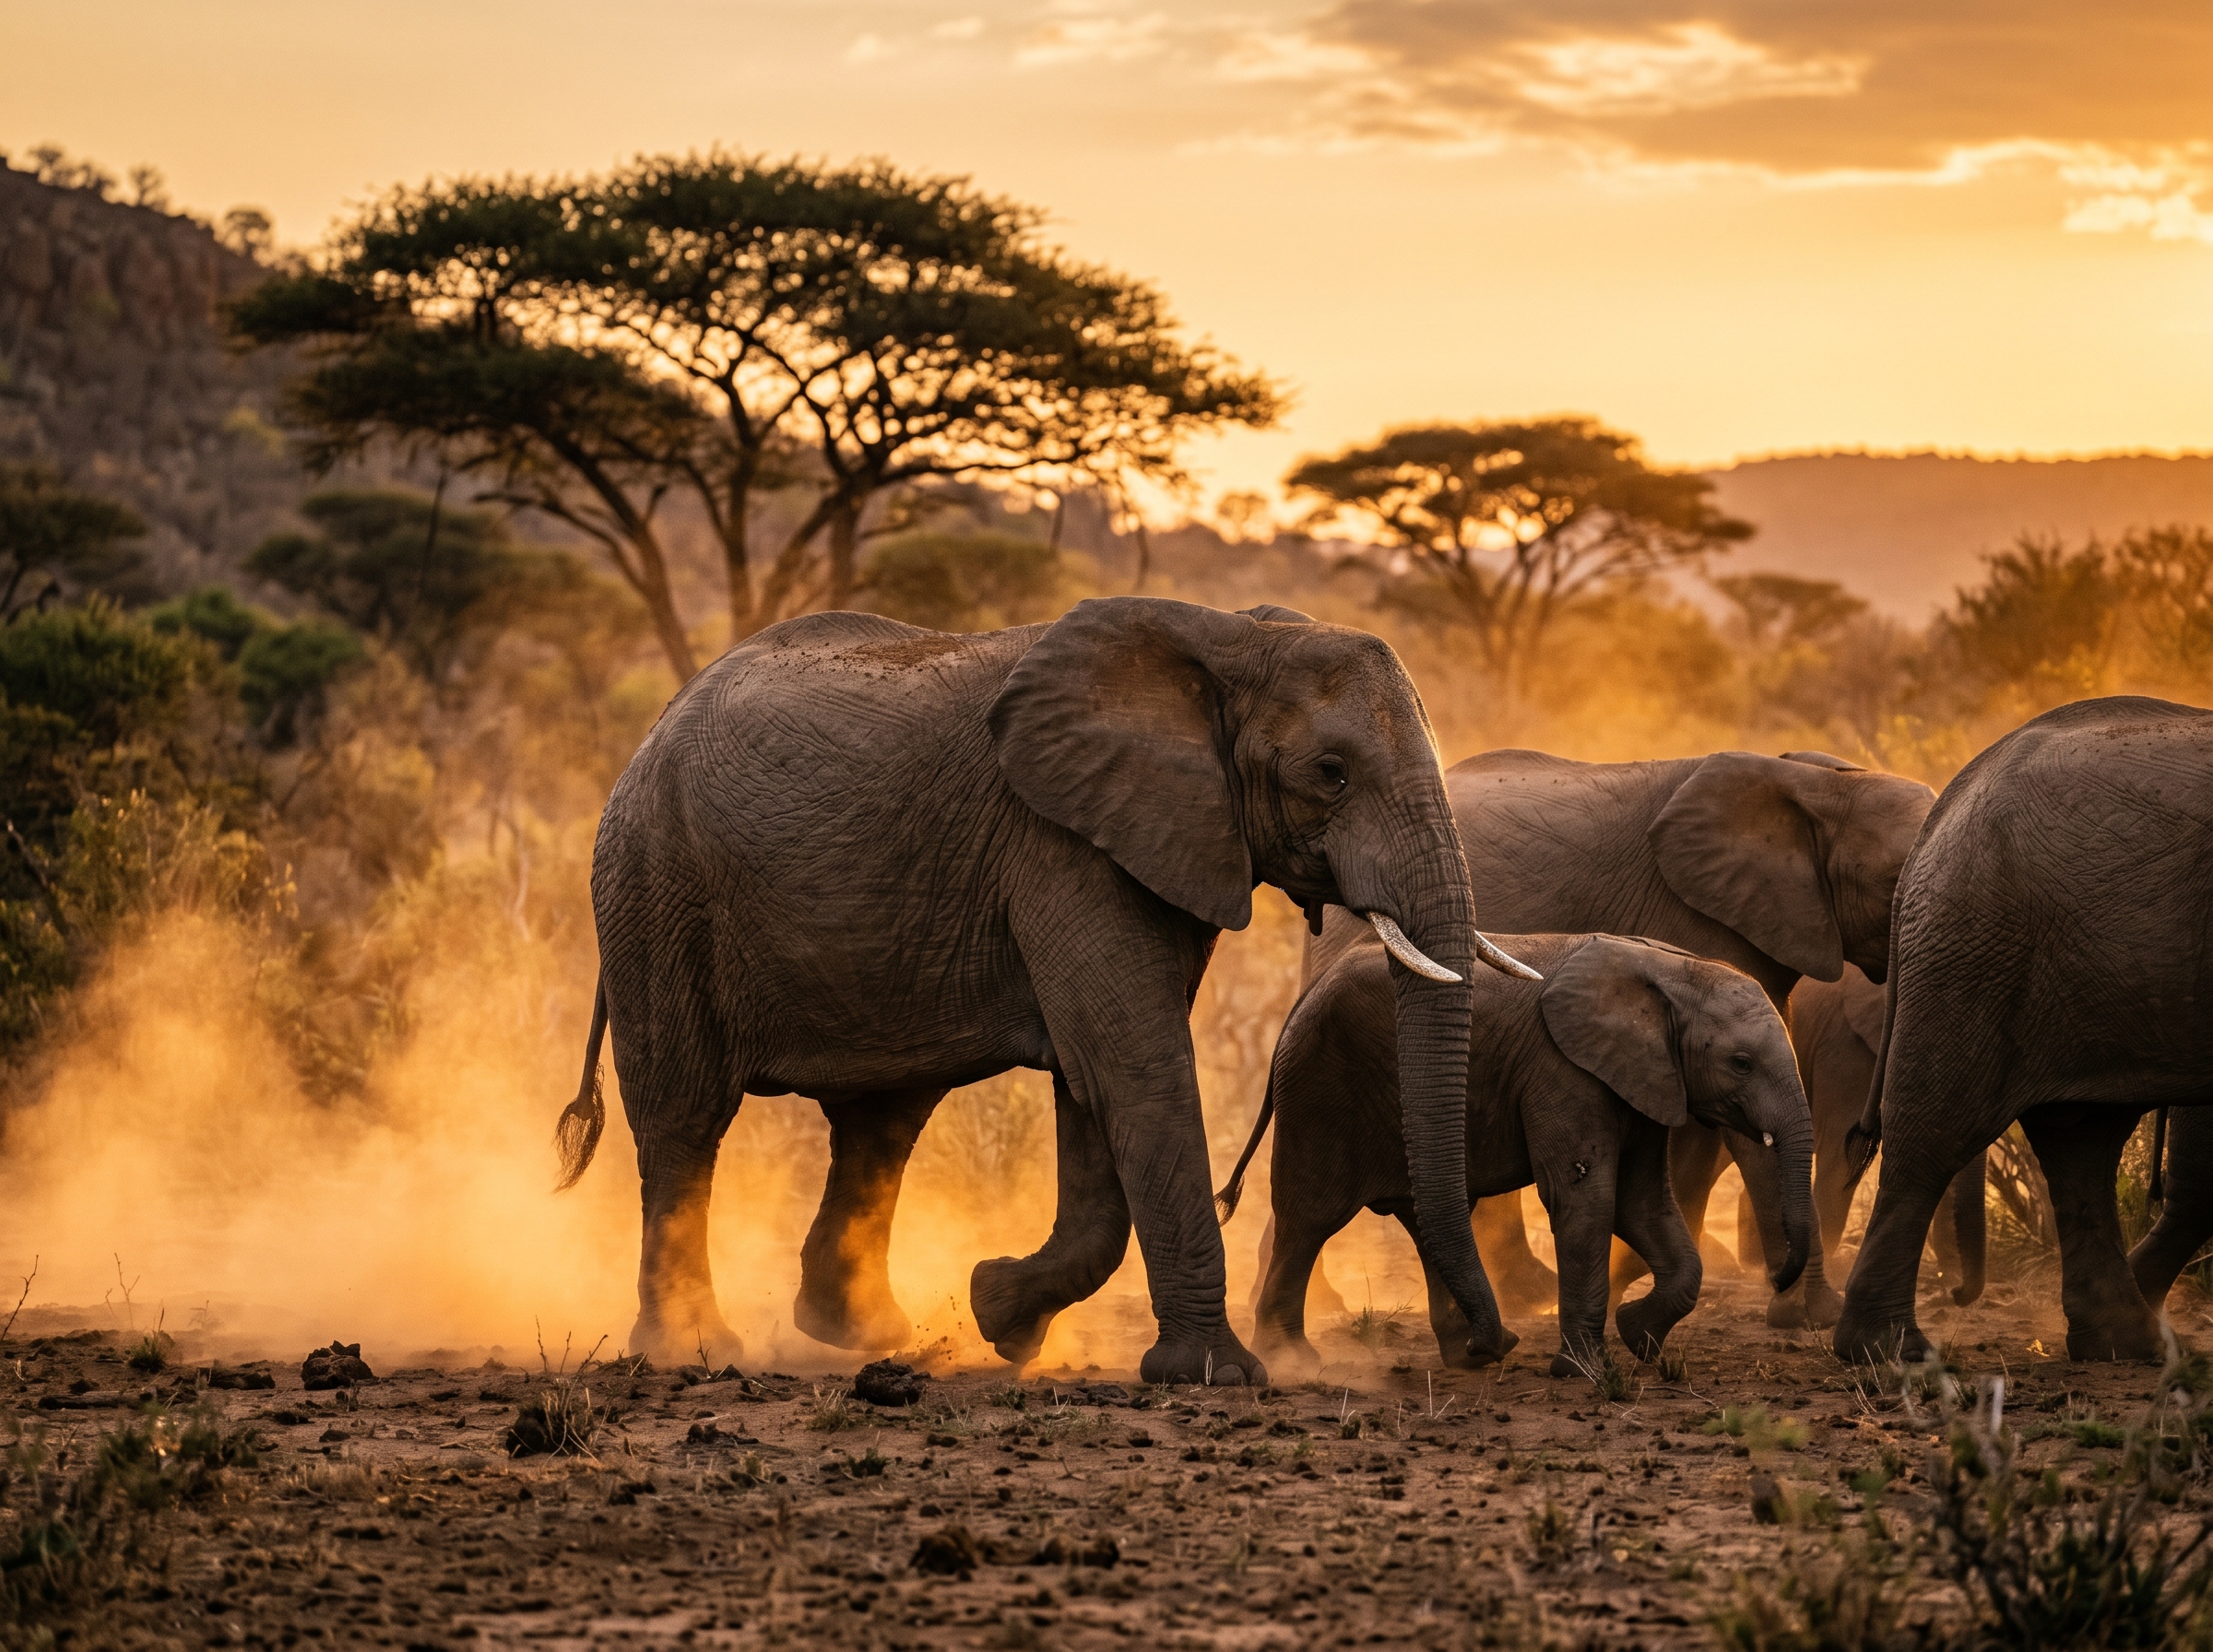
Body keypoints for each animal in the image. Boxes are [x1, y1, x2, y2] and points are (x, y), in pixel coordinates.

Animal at [557, 596, 1534, 1385]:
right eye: (1331, 772)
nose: (1488, 1349)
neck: (1230, 638)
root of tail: (649, 735)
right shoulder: (1062, 842)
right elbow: (1134, 1067)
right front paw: (1214, 1376)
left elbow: (1092, 1082)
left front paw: (1000, 1312)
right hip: (653, 886)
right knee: (686, 1118)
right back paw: (691, 1346)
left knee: (882, 1123)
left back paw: (861, 1334)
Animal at [1227, 932, 1814, 1377]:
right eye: (1741, 1063)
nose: (1781, 1278)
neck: (1673, 971)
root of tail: (1302, 998)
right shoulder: (1564, 1071)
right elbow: (1584, 1198)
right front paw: (1586, 1373)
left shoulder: (1643, 1080)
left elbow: (1641, 1202)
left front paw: (1638, 1336)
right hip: (1319, 1089)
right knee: (1310, 1218)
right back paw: (1292, 1360)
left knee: (1423, 1216)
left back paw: (1478, 1350)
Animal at [1291, 746, 1933, 1330]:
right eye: (1894, 883)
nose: (1777, 1279)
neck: (1823, 785)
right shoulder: (1699, 923)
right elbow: (1730, 1134)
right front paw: (1811, 1315)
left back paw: (1525, 1296)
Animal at [1835, 696, 2213, 1364]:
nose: (1956, 1292)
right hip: (1975, 942)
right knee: (1936, 1132)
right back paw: (1893, 1350)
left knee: (2082, 1139)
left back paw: (2125, 1344)